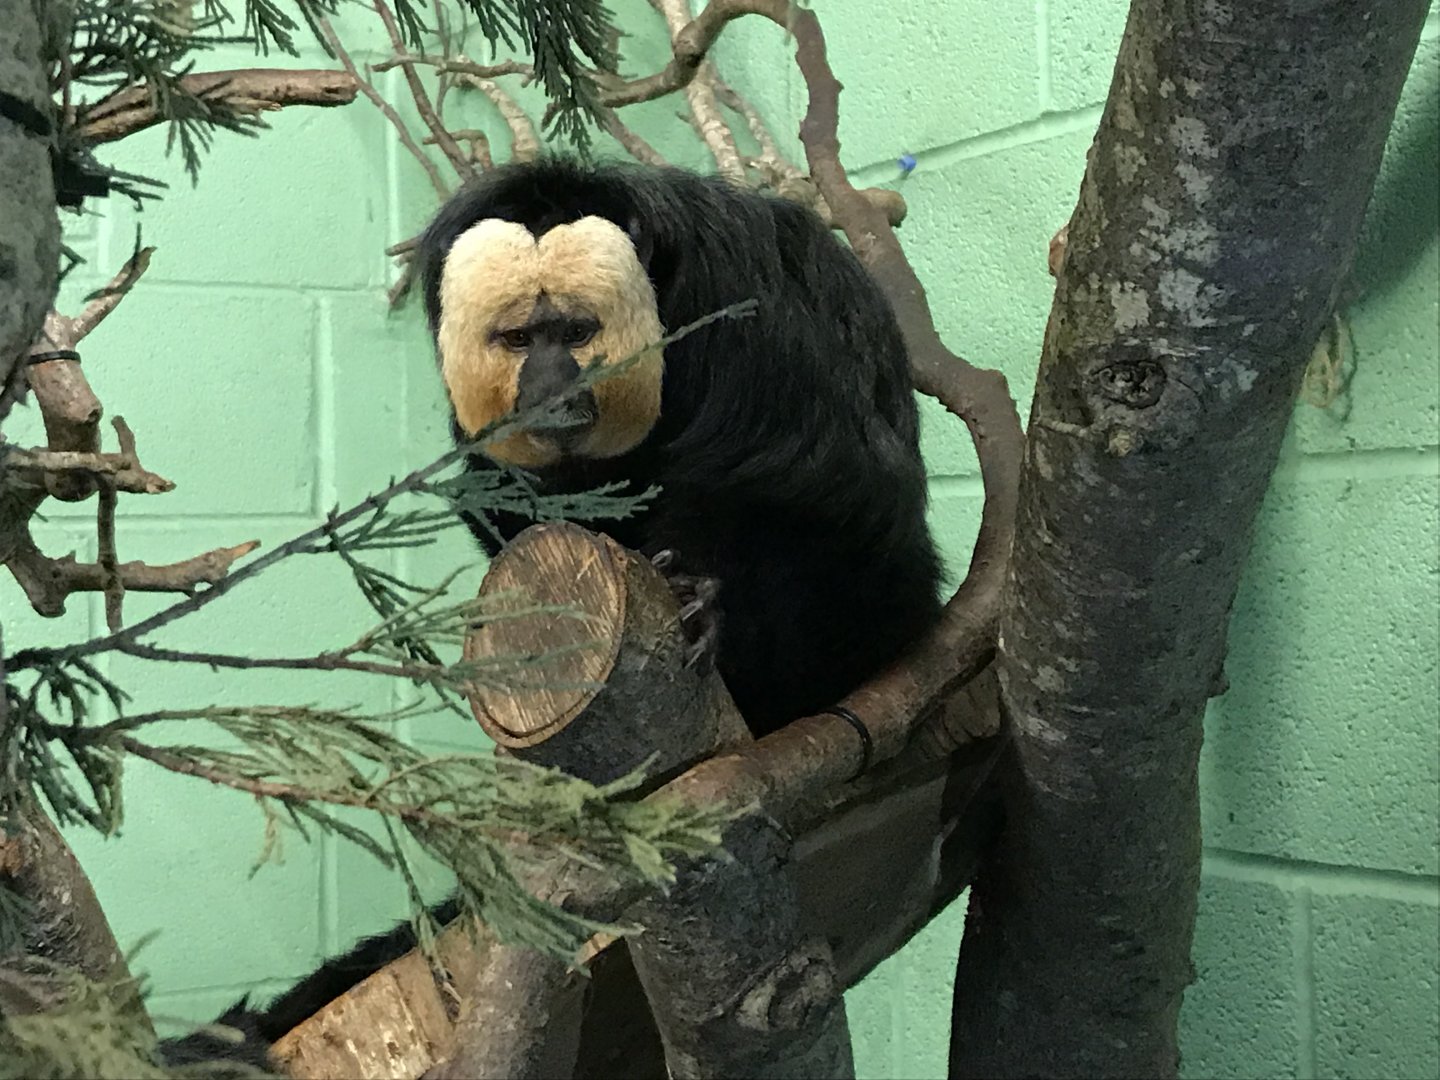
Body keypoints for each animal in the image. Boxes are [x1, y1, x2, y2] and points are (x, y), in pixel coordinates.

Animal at [157, 155, 945, 1068]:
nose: (547, 386)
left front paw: (701, 594)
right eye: (516, 340)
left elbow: (824, 488)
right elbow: (507, 504)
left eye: (571, 332)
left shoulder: (762, 313)